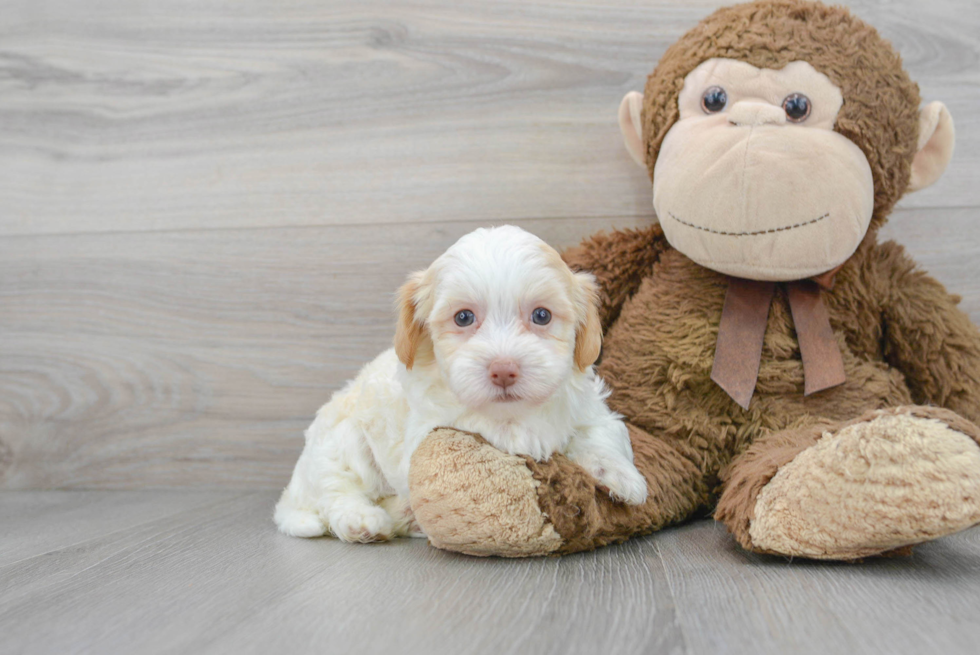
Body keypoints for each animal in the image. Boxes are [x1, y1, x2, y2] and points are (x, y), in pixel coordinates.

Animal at [272, 226, 648, 544]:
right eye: (464, 317)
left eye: (542, 315)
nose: (504, 370)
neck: (514, 412)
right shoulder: (428, 428)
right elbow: (489, 428)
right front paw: (527, 439)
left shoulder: (591, 409)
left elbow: (602, 435)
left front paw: (623, 477)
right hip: (340, 443)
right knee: (337, 488)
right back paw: (363, 521)